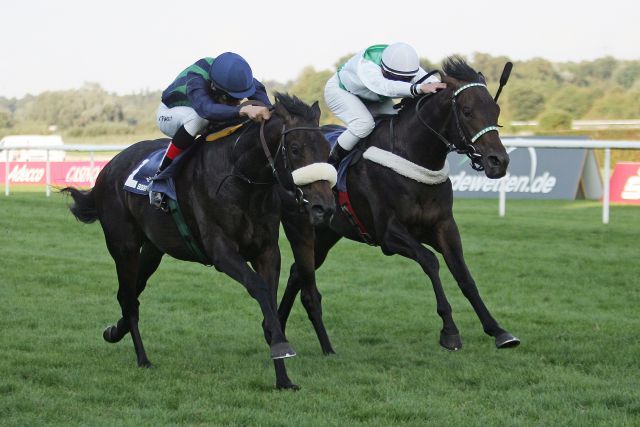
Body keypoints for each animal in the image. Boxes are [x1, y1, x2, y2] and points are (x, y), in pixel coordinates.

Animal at [62, 94, 338, 392]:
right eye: (295, 149)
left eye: (327, 149)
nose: (324, 208)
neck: (240, 178)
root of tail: (109, 167)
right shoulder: (221, 250)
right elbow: (260, 288)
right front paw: (280, 347)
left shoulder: (267, 251)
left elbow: (270, 299)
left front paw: (283, 376)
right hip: (123, 247)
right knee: (127, 296)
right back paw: (142, 358)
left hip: (152, 249)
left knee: (132, 292)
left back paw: (115, 331)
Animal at [280, 57, 520, 358]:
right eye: (466, 111)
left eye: (495, 109)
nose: (499, 161)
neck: (412, 155)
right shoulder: (389, 234)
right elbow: (430, 261)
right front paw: (450, 331)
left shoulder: (444, 226)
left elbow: (464, 275)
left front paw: (498, 330)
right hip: (303, 228)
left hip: (325, 234)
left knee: (296, 273)